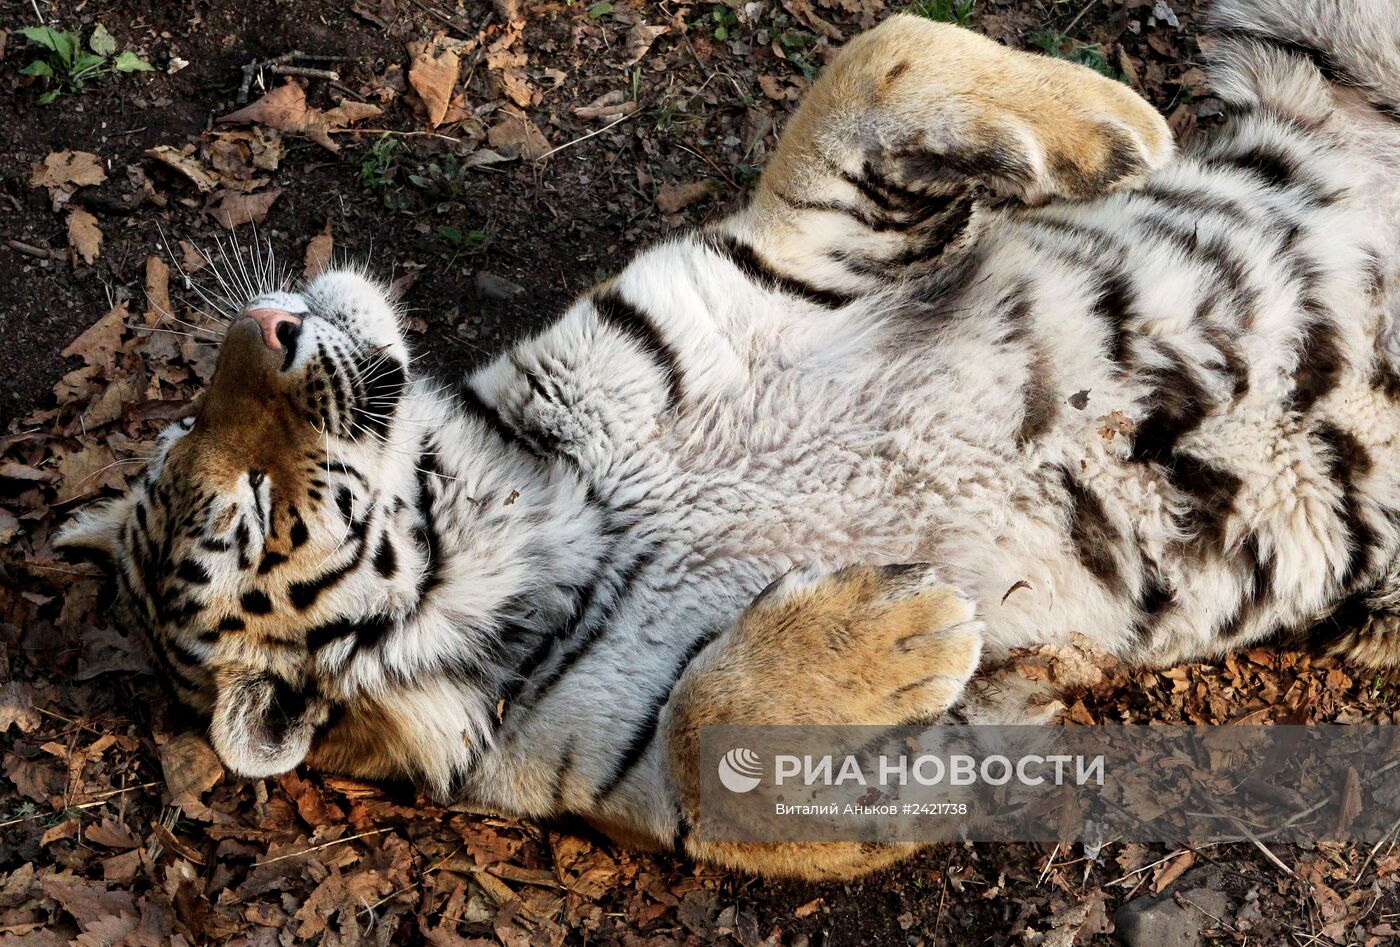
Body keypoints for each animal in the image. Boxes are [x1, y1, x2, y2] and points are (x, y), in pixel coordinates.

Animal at [60, 0, 1400, 874]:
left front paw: (1106, 122)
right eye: (242, 510)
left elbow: (882, 51)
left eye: (189, 428)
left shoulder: (785, 248)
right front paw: (898, 630)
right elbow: (709, 734)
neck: (525, 507)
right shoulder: (649, 781)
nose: (268, 322)